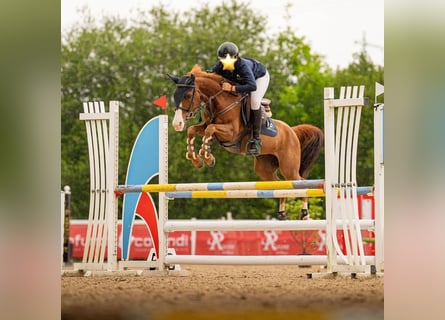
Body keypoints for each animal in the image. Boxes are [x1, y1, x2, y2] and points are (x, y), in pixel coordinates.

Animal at [166, 65, 322, 220]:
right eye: (175, 96)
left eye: (187, 95)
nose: (177, 124)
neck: (221, 101)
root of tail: (292, 131)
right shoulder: (206, 126)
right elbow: (192, 130)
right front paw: (196, 159)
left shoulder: (231, 132)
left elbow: (210, 130)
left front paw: (207, 156)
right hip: (264, 167)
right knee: (281, 184)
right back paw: (282, 214)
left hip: (289, 167)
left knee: (300, 182)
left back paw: (305, 214)